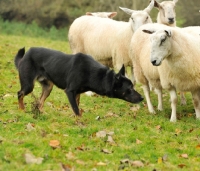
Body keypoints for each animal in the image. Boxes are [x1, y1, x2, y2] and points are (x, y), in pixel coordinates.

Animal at [14, 47, 143, 115]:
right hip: (28, 85)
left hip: (48, 87)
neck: (92, 73)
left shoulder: (77, 94)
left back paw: (41, 113)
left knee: (40, 102)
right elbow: (76, 110)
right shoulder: (70, 91)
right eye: (130, 88)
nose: (142, 98)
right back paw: (21, 109)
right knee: (20, 93)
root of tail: (26, 55)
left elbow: (76, 107)